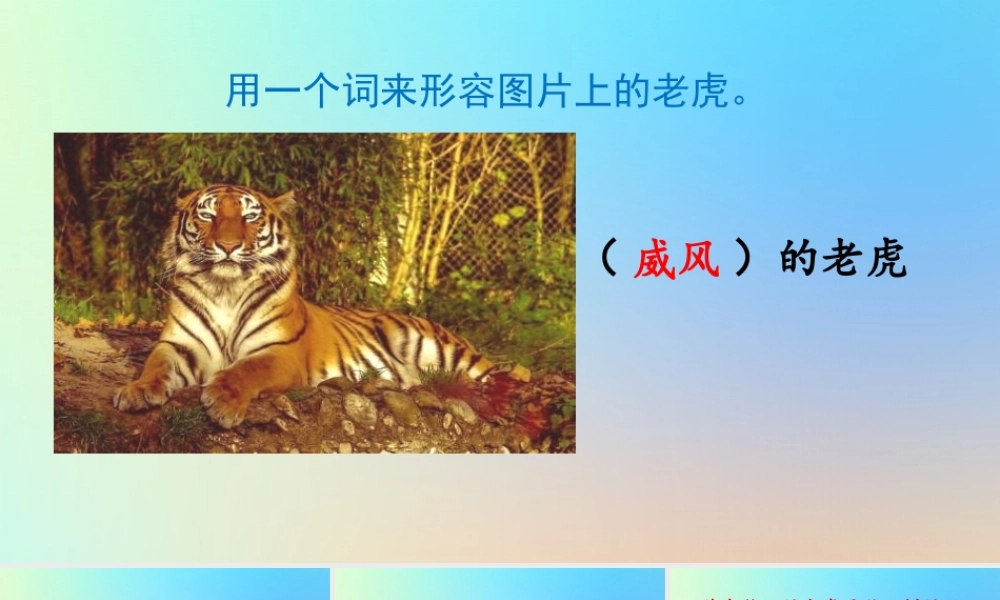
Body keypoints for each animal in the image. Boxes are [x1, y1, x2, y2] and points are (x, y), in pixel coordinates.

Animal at [113, 184, 496, 429]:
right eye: (207, 217)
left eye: (249, 218)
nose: (228, 246)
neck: (225, 289)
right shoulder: (179, 344)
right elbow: (156, 365)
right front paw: (137, 391)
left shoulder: (280, 352)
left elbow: (246, 369)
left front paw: (222, 400)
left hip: (438, 348)